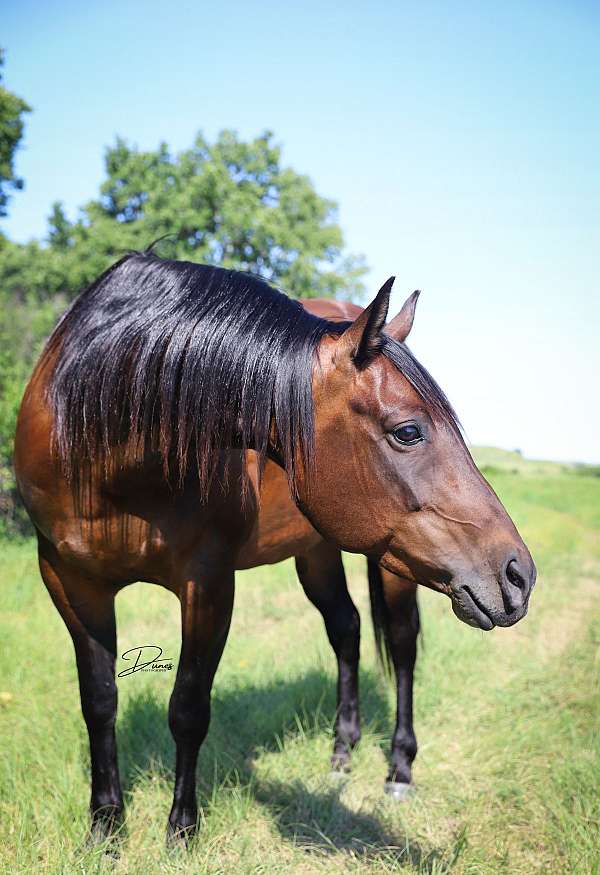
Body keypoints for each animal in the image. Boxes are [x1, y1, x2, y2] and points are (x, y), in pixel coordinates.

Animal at [14, 253, 536, 840]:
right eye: (407, 431)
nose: (518, 574)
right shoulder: (70, 582)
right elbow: (100, 702)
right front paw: (105, 827)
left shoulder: (208, 584)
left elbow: (188, 707)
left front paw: (181, 830)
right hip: (317, 552)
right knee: (346, 628)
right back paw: (341, 750)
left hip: (392, 566)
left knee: (401, 646)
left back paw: (399, 769)